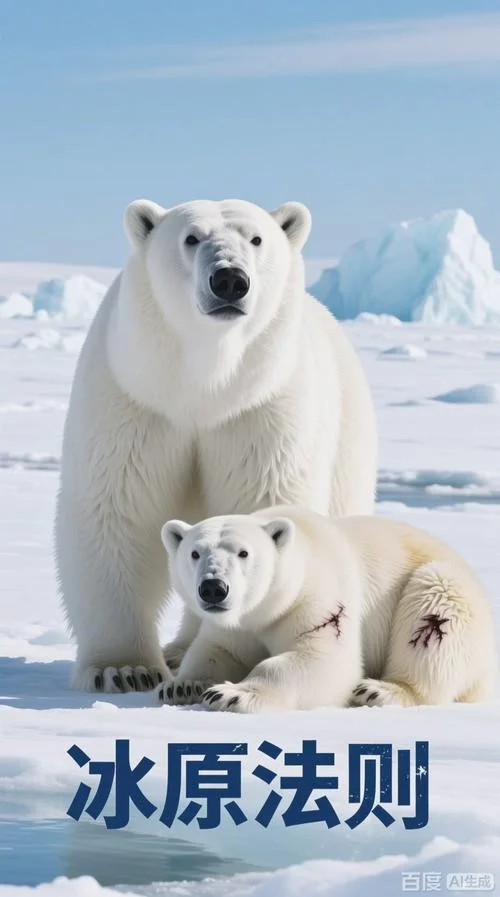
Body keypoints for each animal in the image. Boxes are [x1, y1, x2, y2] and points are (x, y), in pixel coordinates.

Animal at [55, 198, 377, 694]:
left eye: (257, 238)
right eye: (191, 238)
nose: (229, 279)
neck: (205, 389)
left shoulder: (259, 410)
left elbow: (259, 506)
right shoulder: (133, 398)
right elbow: (117, 510)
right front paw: (123, 669)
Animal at [155, 506, 497, 713]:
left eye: (243, 553)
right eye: (195, 553)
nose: (214, 587)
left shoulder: (319, 599)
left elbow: (321, 660)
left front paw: (230, 694)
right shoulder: (236, 623)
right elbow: (217, 650)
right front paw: (180, 685)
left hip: (445, 592)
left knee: (432, 621)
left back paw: (377, 690)